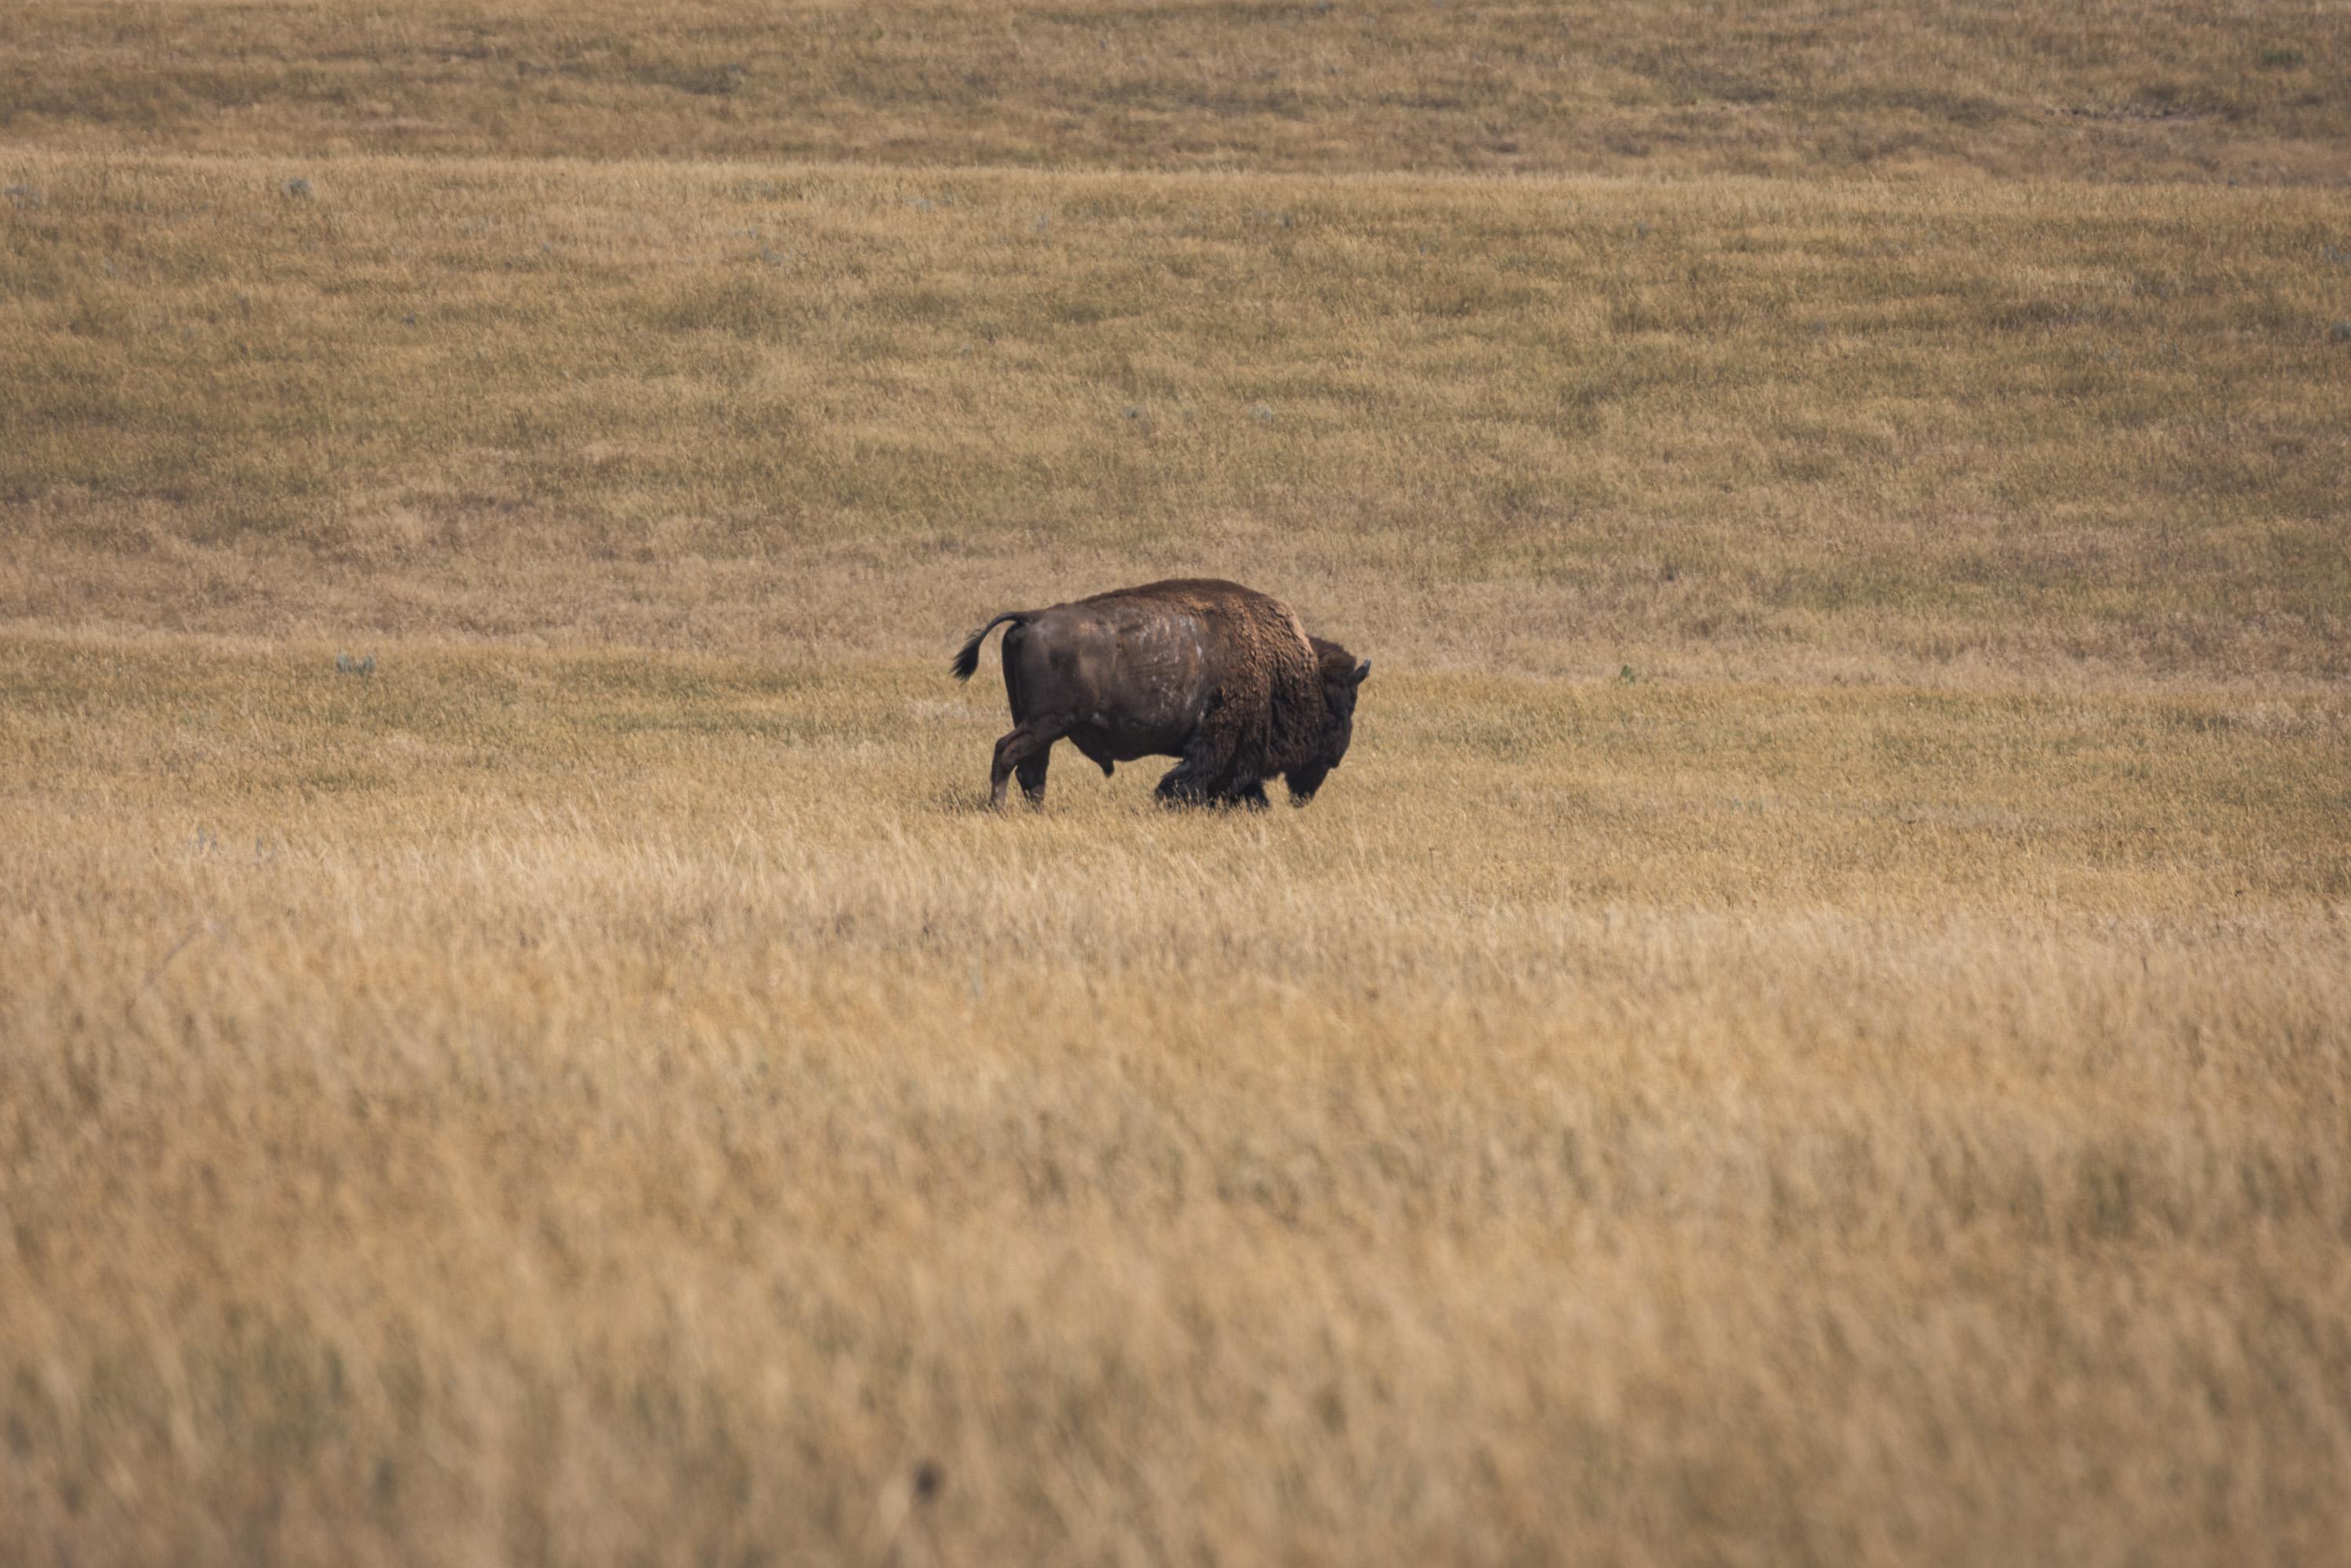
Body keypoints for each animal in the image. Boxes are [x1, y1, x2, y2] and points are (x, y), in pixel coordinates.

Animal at [951, 578, 1369, 809]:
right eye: (1344, 706)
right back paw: (998, 807)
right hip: (1046, 722)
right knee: (1007, 752)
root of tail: (1031, 617)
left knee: (1032, 768)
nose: (1336, 758)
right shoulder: (1219, 743)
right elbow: (1196, 778)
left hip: (1041, 725)